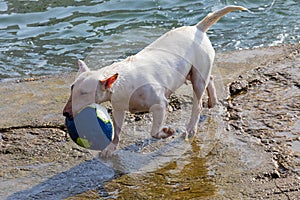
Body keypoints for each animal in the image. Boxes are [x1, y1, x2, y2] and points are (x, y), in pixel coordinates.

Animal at [62, 5, 246, 157]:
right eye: (72, 88)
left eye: (84, 93)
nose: (65, 113)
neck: (121, 81)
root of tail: (197, 28)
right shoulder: (119, 108)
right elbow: (117, 129)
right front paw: (110, 149)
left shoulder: (160, 103)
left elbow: (154, 131)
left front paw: (167, 132)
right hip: (190, 72)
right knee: (211, 78)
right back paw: (213, 101)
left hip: (198, 75)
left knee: (198, 103)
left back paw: (191, 129)